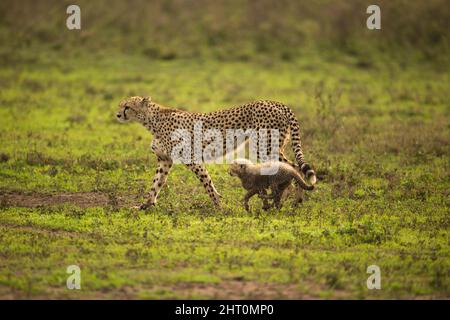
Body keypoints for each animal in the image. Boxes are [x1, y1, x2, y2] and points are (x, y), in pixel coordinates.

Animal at [116, 96, 316, 209]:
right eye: (120, 105)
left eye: (127, 107)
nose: (118, 115)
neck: (151, 121)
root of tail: (277, 103)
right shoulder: (164, 160)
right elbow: (156, 184)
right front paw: (145, 205)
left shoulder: (192, 159)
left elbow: (207, 183)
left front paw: (219, 207)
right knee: (292, 166)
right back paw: (294, 200)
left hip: (264, 147)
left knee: (290, 167)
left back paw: (288, 200)